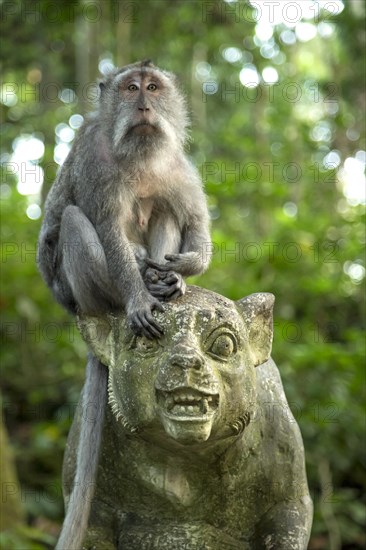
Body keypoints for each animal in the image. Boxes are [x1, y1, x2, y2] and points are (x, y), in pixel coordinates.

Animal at [37, 60, 212, 550]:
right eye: (131, 88)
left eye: (153, 87)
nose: (144, 105)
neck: (140, 155)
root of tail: (77, 309)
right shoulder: (96, 164)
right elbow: (108, 226)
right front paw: (136, 298)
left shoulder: (177, 164)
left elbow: (193, 218)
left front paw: (186, 266)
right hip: (83, 290)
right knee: (75, 220)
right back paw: (137, 285)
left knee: (163, 206)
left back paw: (164, 280)